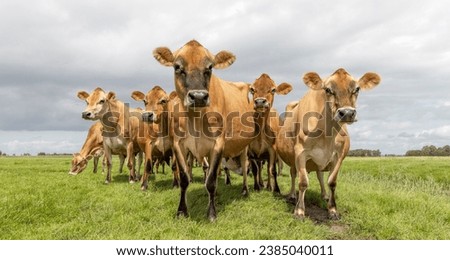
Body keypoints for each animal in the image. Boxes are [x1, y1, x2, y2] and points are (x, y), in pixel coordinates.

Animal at [153, 40, 255, 221]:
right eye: (177, 66)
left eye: (210, 67)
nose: (199, 96)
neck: (195, 119)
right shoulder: (179, 145)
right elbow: (185, 178)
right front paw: (181, 211)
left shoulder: (218, 143)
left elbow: (212, 180)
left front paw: (212, 213)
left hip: (244, 146)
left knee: (244, 166)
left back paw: (244, 190)